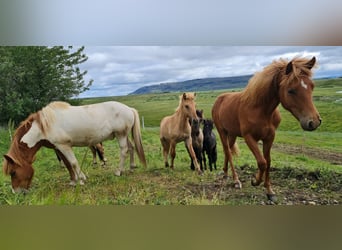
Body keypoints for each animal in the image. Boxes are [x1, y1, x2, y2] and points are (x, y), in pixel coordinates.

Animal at [3, 100, 147, 192]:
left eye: (13, 172)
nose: (16, 192)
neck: (43, 127)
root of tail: (129, 109)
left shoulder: (64, 146)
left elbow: (73, 163)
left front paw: (81, 180)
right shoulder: (58, 147)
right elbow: (67, 164)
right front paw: (73, 181)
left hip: (120, 135)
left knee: (124, 150)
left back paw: (118, 171)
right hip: (124, 135)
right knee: (131, 148)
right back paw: (131, 167)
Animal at [212, 56, 322, 201]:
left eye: (312, 86)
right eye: (291, 90)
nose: (313, 122)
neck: (261, 110)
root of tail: (219, 98)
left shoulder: (270, 137)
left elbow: (268, 162)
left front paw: (269, 191)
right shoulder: (249, 138)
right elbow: (262, 162)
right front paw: (255, 181)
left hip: (232, 134)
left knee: (228, 151)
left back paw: (225, 173)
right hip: (222, 132)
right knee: (228, 152)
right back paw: (236, 180)